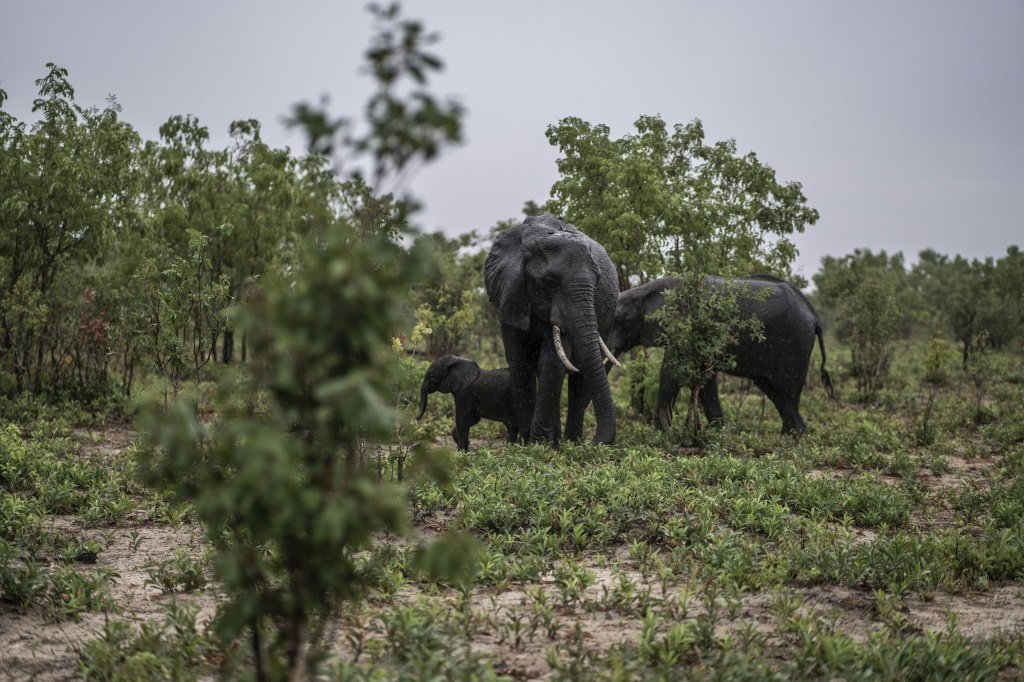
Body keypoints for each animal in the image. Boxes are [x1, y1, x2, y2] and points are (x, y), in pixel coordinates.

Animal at [483, 214, 618, 446]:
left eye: (598, 280)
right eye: (549, 282)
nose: (595, 442)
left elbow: (552, 363)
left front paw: (538, 444)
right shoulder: (510, 293)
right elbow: (520, 361)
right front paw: (529, 444)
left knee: (581, 379)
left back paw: (571, 443)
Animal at [606, 274, 831, 432]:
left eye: (618, 320)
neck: (644, 291)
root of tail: (814, 316)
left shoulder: (685, 325)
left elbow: (671, 372)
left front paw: (659, 435)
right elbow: (704, 377)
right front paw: (719, 433)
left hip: (796, 341)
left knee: (788, 388)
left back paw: (794, 437)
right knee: (773, 389)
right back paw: (796, 435)